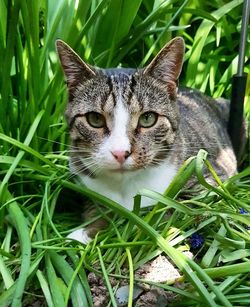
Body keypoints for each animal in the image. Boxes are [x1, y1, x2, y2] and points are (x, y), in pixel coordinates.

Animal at [56, 36, 236, 243]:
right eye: (95, 119)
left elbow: (178, 207)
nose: (120, 153)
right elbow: (99, 207)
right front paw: (88, 231)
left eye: (148, 118)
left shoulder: (212, 179)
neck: (126, 186)